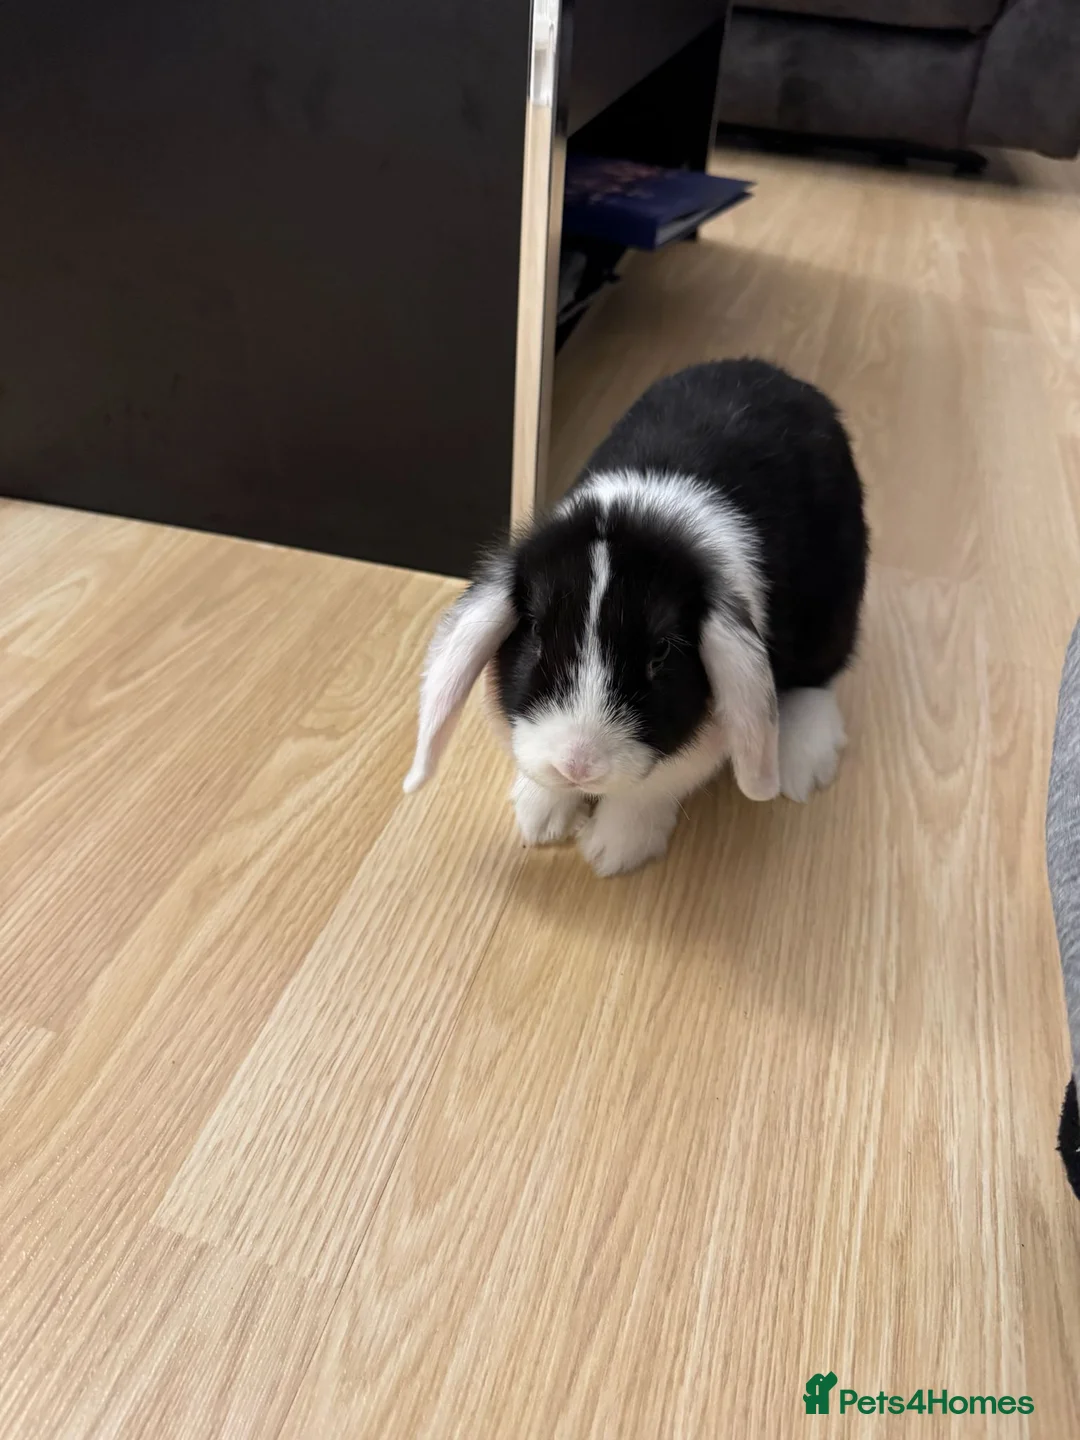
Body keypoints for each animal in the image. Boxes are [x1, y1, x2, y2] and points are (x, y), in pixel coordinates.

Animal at [404, 358, 869, 877]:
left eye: (661, 651)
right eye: (537, 633)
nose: (578, 766)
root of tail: (782, 376)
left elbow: (650, 790)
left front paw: (613, 851)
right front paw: (539, 819)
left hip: (835, 599)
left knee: (820, 673)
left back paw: (802, 763)